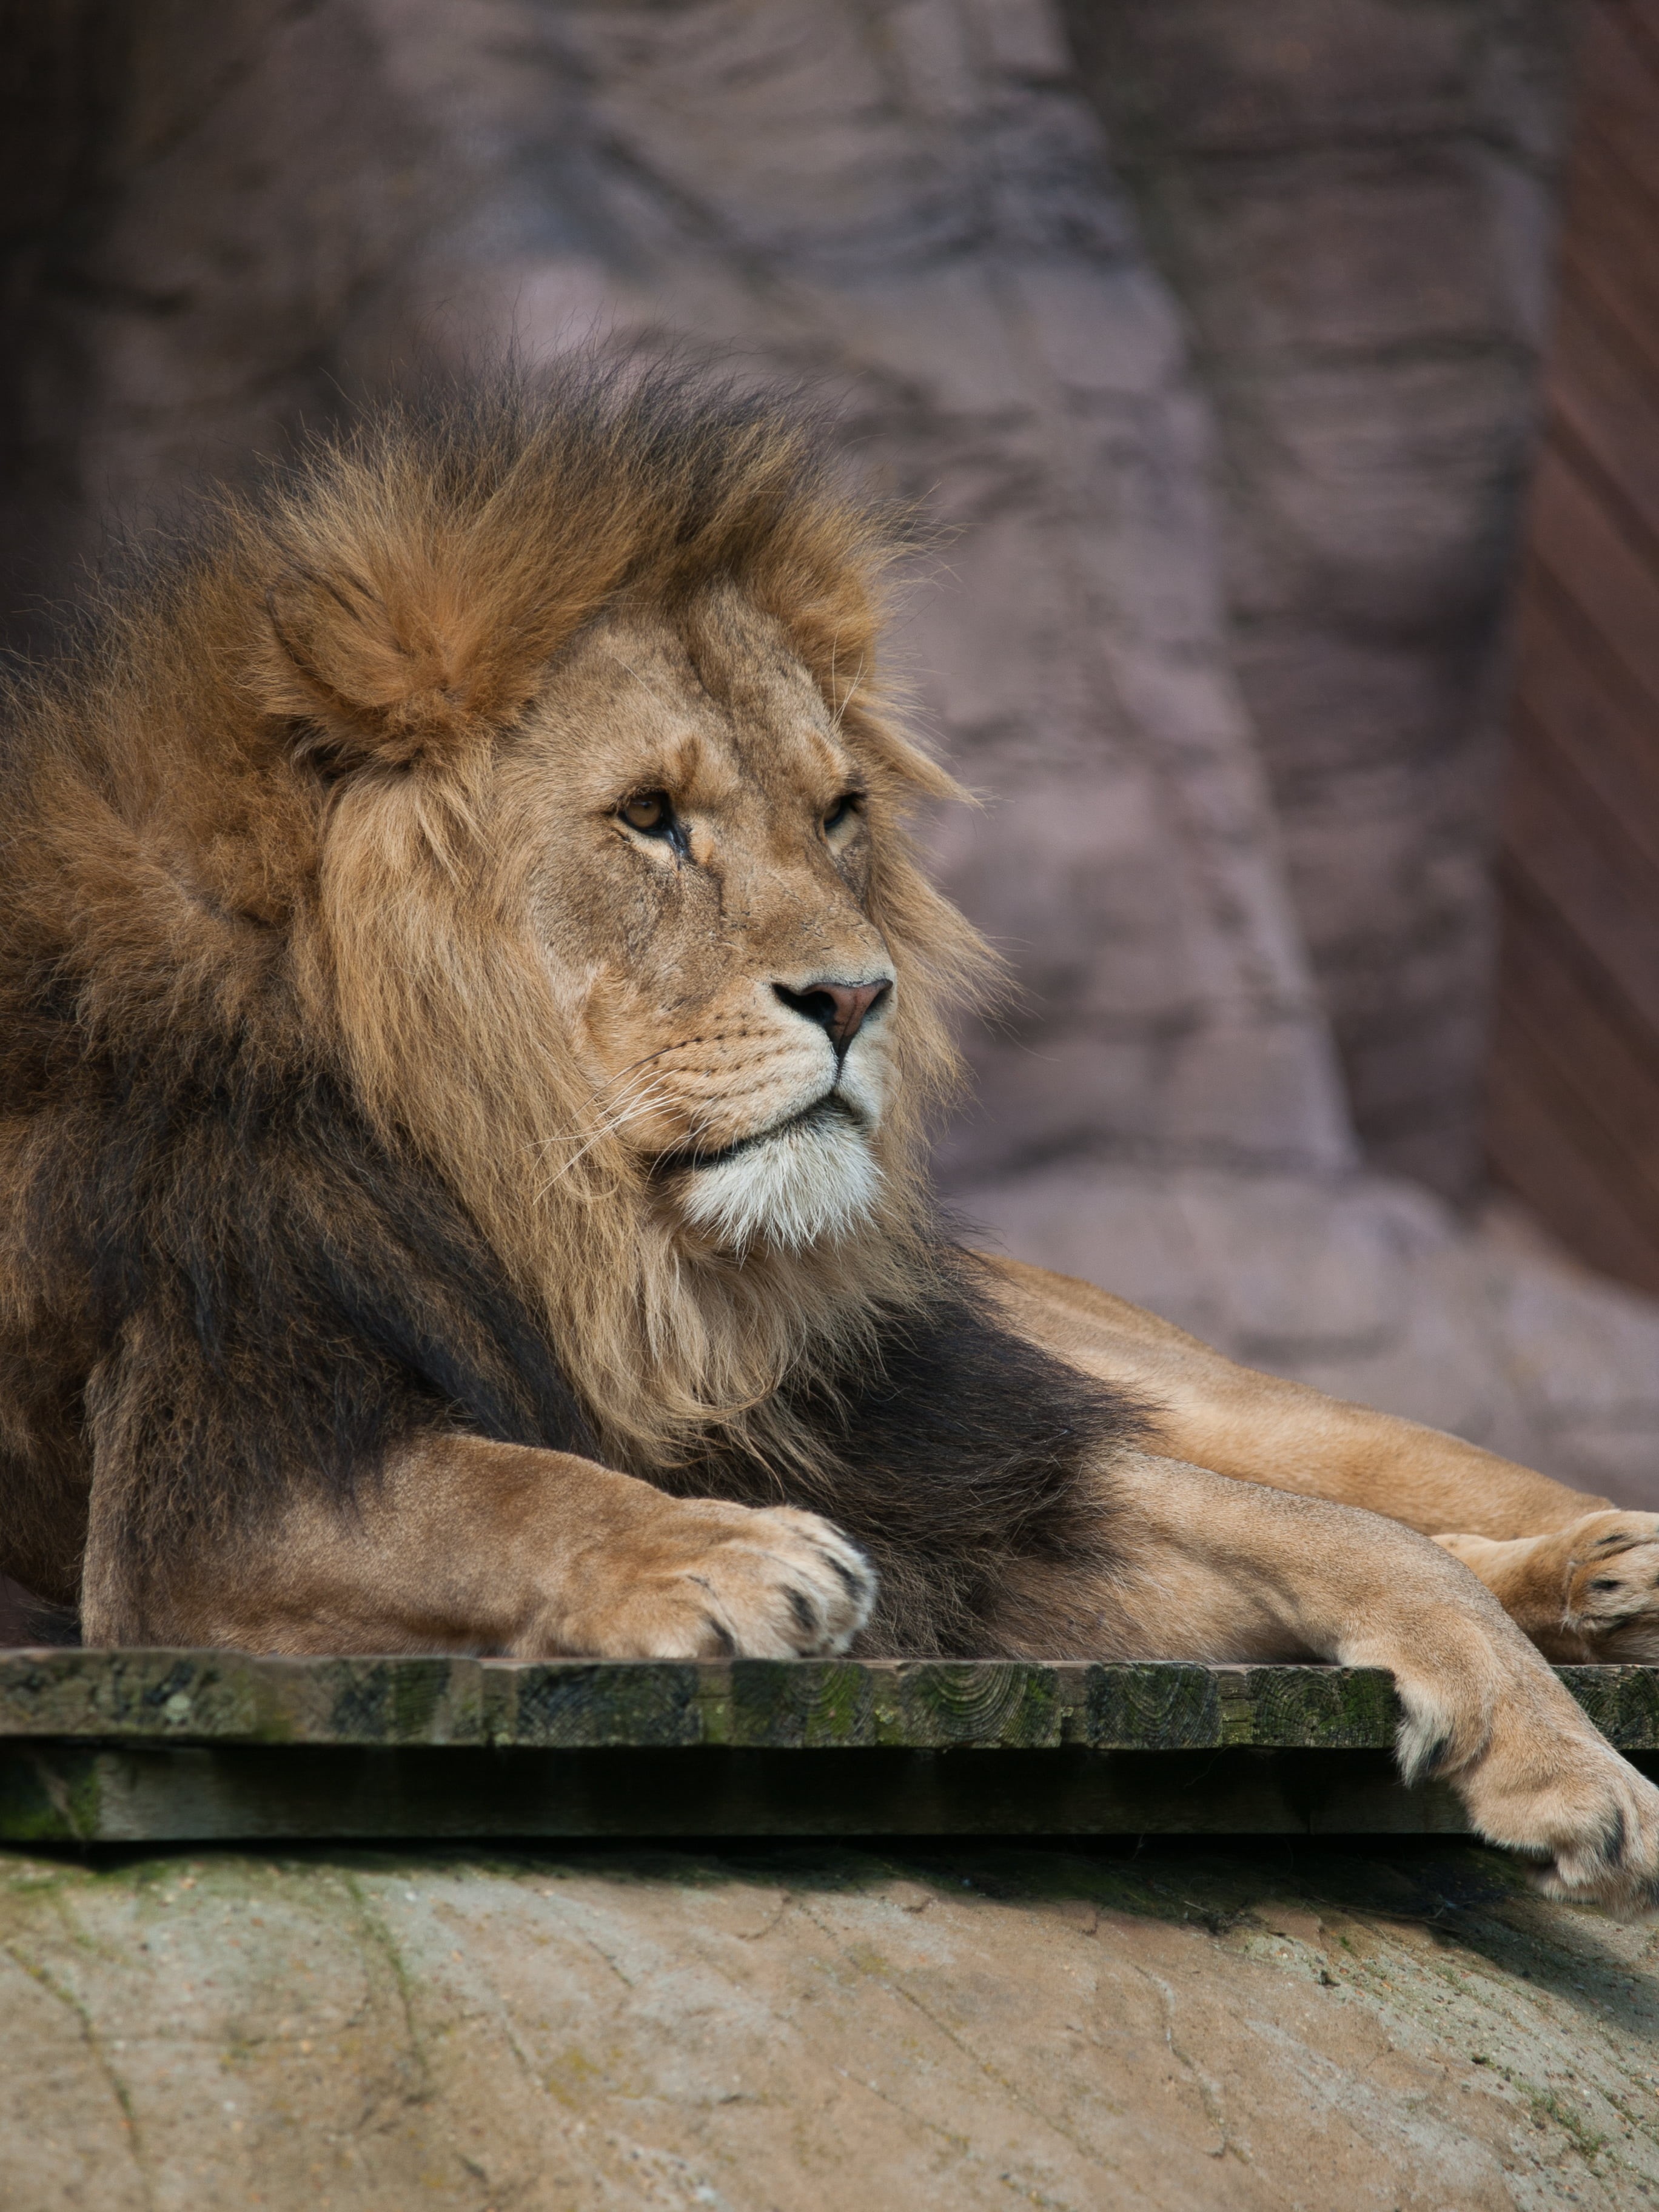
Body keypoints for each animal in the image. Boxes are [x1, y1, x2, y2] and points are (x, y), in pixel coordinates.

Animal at [2, 363, 1658, 1910]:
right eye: (650, 817)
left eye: (838, 812)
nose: (858, 995)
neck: (614, 1267)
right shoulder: (208, 1500)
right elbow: (501, 1486)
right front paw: (724, 1550)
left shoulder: (951, 1463)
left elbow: (1342, 1535)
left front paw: (1562, 1758)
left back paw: (1604, 1567)